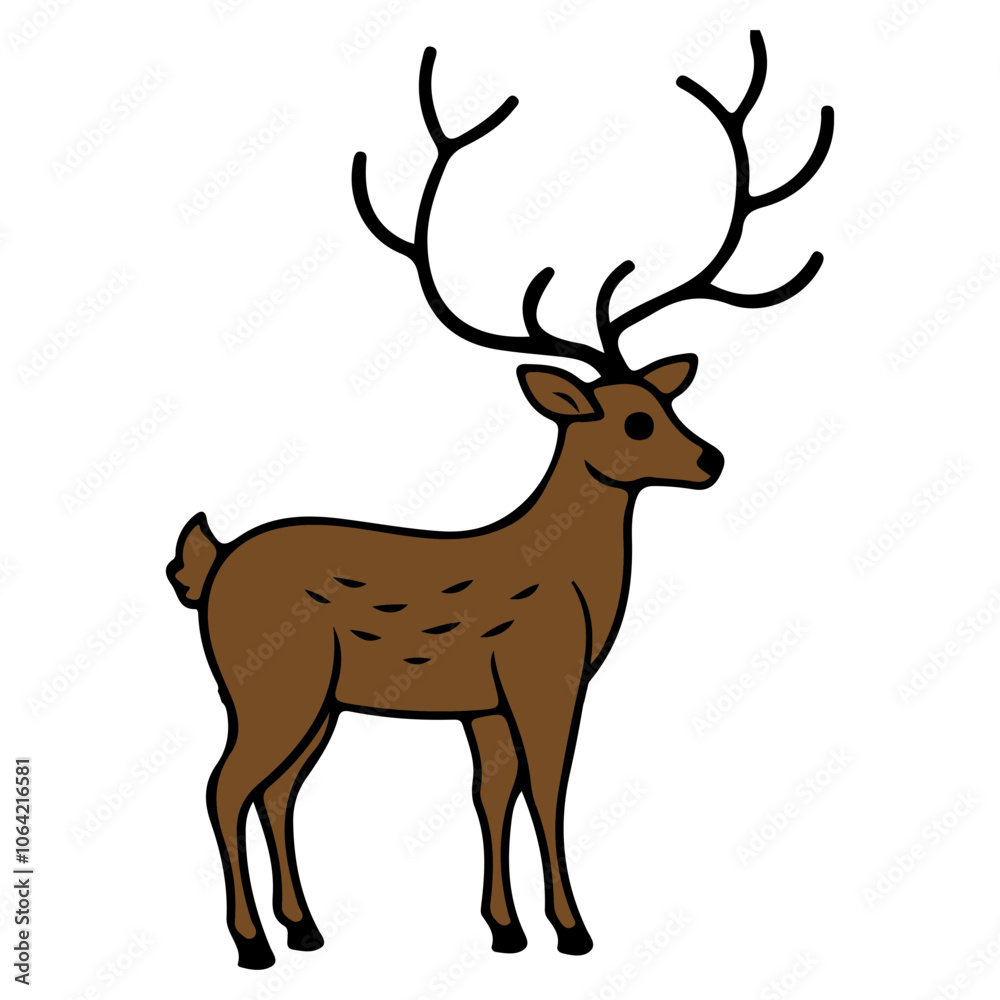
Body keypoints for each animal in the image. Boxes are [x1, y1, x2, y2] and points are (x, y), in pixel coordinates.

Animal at [167, 32, 833, 970]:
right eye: (634, 420)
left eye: (665, 402)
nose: (712, 459)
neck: (575, 580)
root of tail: (211, 564)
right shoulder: (543, 673)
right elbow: (547, 792)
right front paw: (574, 930)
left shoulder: (482, 701)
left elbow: (492, 794)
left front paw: (506, 929)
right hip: (270, 680)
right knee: (224, 786)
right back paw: (252, 944)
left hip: (317, 700)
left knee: (276, 791)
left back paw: (305, 929)